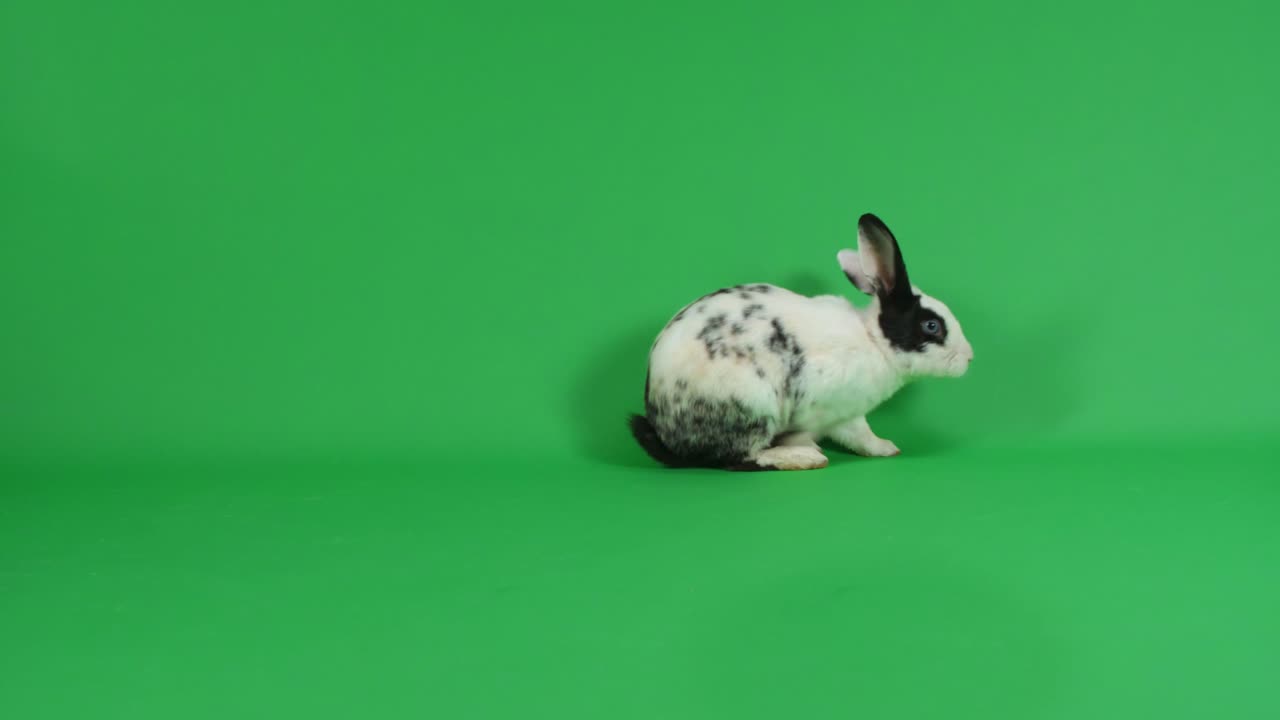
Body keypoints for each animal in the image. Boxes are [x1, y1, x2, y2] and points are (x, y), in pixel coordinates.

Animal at [629, 213, 973, 470]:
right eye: (932, 326)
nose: (969, 357)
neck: (874, 341)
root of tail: (666, 428)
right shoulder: (841, 413)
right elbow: (860, 434)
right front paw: (886, 448)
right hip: (754, 405)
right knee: (739, 458)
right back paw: (804, 458)